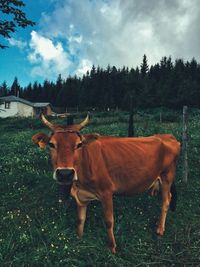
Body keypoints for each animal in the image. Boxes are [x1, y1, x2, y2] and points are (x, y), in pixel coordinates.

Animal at [32, 114, 180, 254]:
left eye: (79, 144)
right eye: (51, 144)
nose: (65, 173)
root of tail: (167, 136)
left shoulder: (106, 192)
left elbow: (109, 221)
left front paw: (112, 247)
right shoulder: (81, 196)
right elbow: (80, 220)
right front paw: (79, 239)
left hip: (167, 176)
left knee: (166, 200)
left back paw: (160, 229)